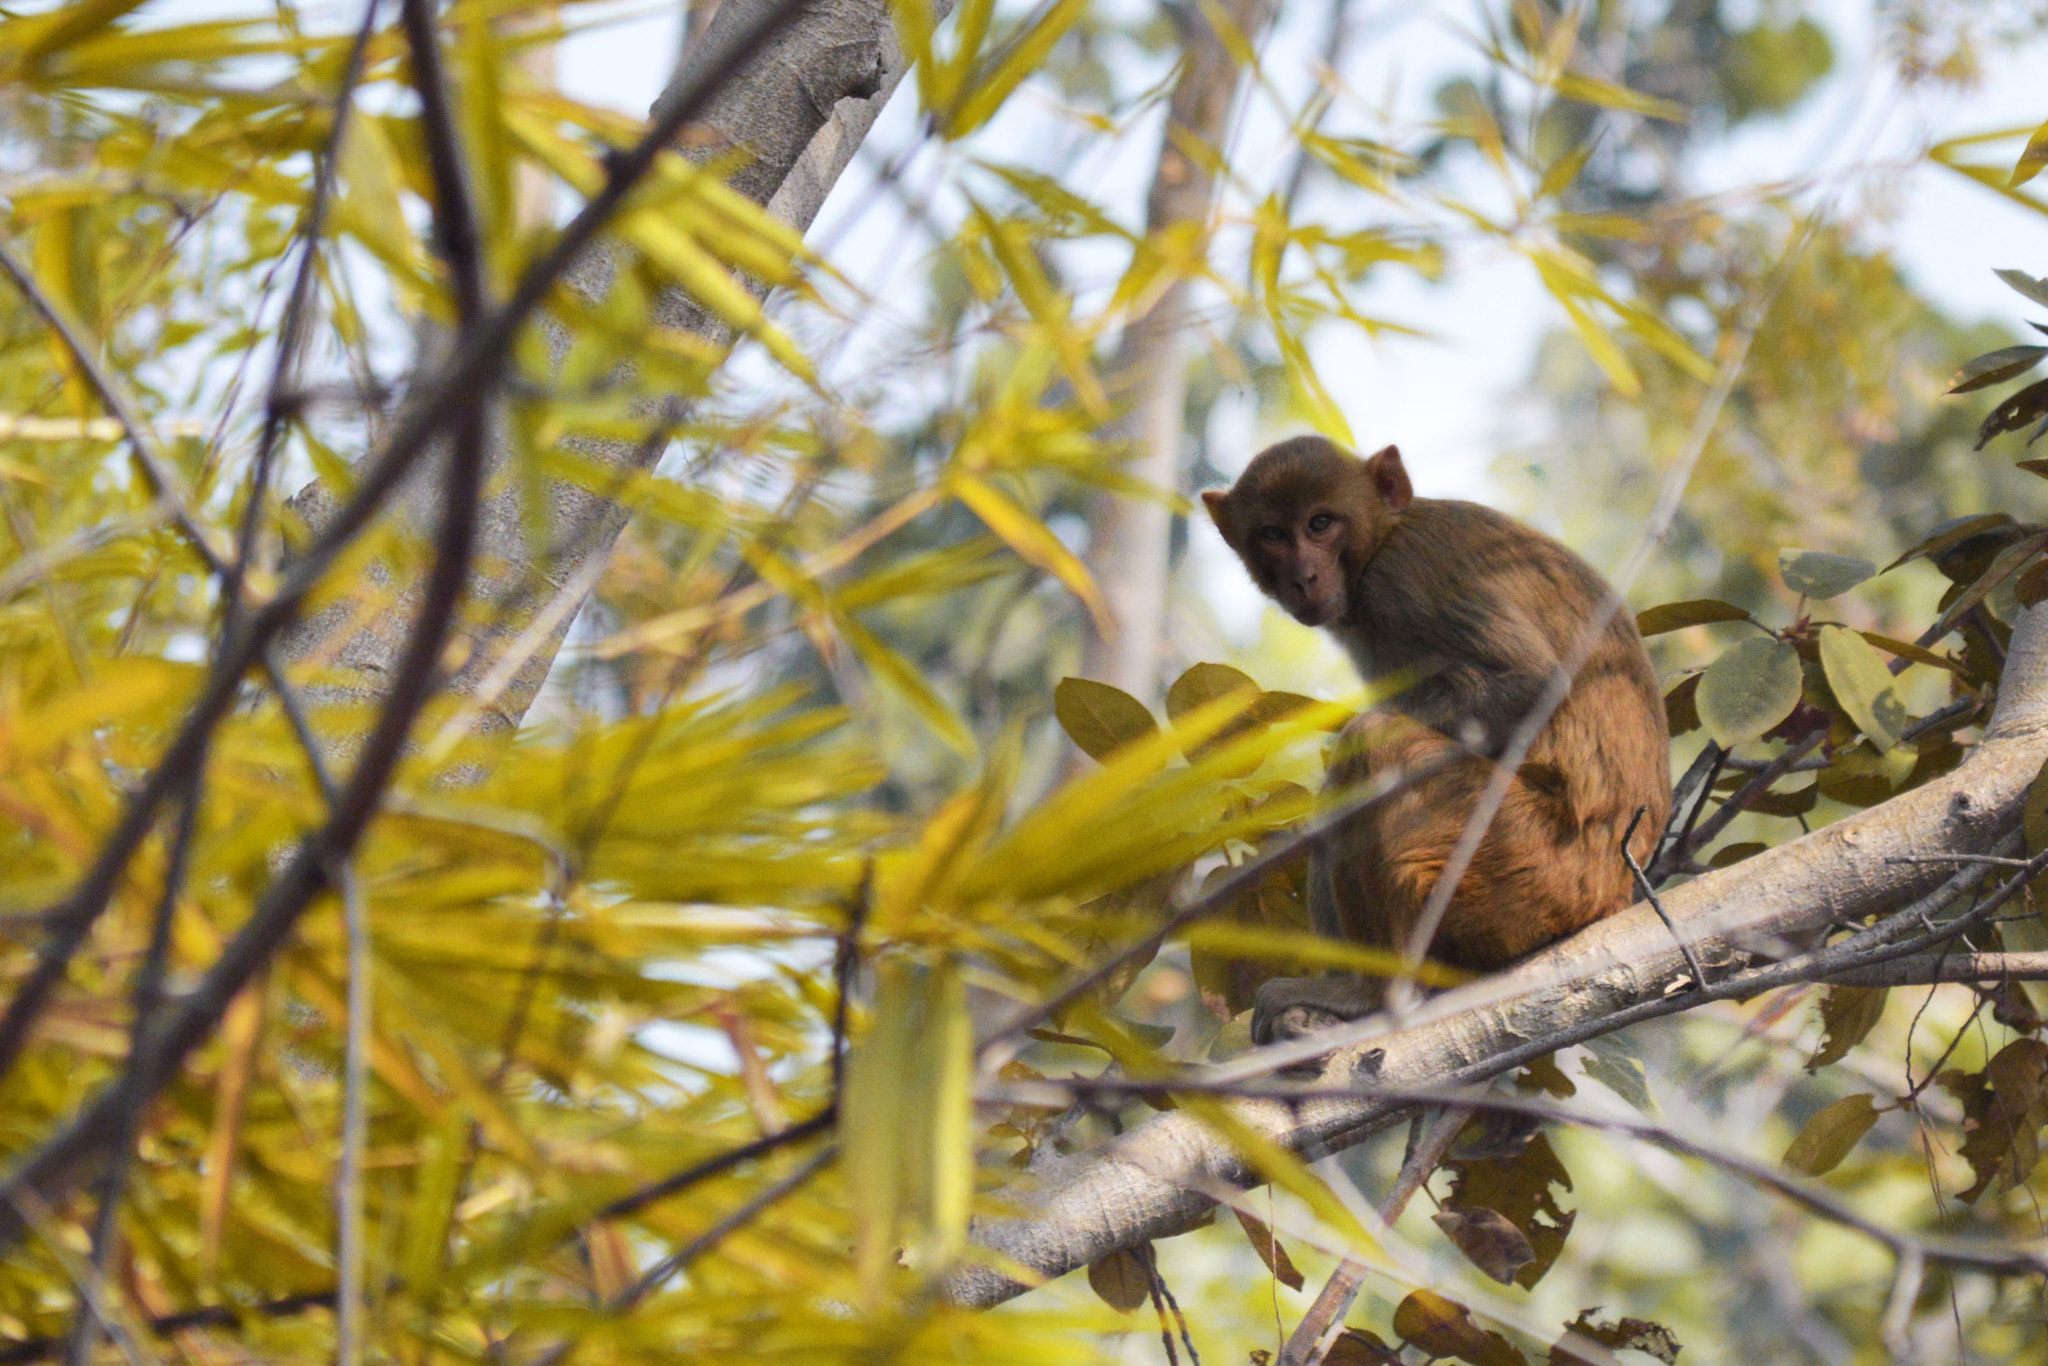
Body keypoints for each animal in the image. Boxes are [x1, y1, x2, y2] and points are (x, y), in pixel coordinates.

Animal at [1201, 436, 1670, 1043]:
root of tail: (1615, 890)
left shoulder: (1402, 580)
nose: (1303, 576)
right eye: (1274, 534)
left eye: (1320, 523)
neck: (1383, 537)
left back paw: (1374, 994)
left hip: (1526, 865)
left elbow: (1530, 682)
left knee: (1375, 744)